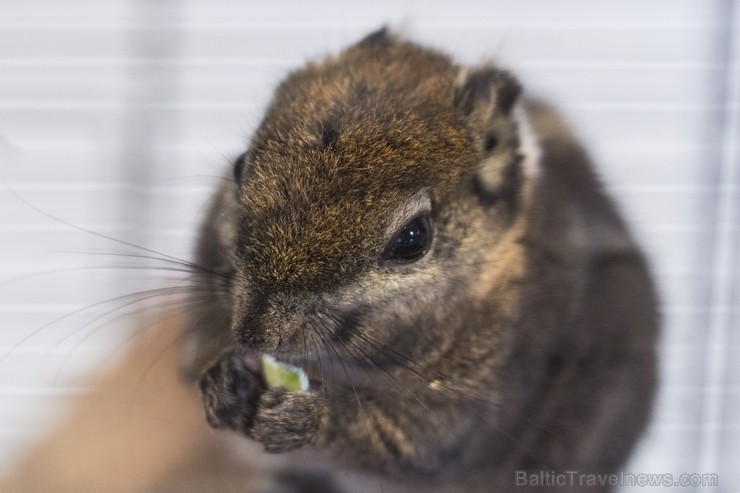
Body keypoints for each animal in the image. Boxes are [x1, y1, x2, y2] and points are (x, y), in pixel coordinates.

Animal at [184, 28, 660, 490]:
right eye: (239, 166)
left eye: (412, 238)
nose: (253, 334)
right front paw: (223, 381)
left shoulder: (488, 378)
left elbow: (417, 441)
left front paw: (311, 418)